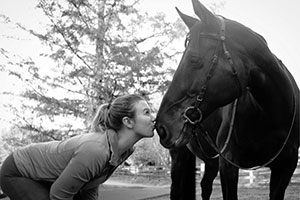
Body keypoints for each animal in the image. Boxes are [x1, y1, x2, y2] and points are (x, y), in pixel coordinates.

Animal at [156, 0, 298, 199]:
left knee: (205, 185)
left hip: (210, 161)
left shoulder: (286, 167)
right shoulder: (228, 164)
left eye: (193, 59)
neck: (270, 114)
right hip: (179, 155)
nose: (161, 127)